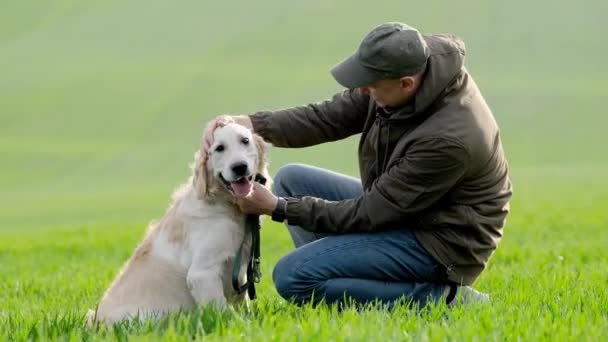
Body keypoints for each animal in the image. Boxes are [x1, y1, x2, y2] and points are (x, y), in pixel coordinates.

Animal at [88, 120, 270, 326]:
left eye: (245, 140)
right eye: (219, 148)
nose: (239, 167)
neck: (226, 205)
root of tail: (96, 321)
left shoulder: (239, 273)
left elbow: (242, 301)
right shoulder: (202, 273)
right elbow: (225, 312)